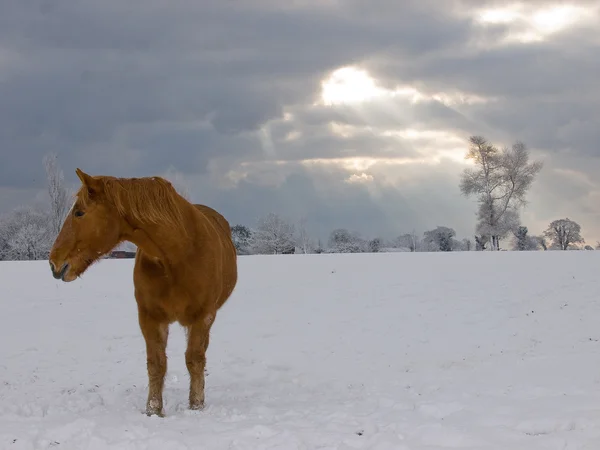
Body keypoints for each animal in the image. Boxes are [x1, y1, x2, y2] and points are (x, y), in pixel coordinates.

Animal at [48, 169, 238, 418]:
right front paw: (153, 410)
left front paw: (196, 406)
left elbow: (195, 359)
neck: (179, 255)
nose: (53, 262)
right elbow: (156, 364)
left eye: (79, 212)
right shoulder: (150, 317)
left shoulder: (203, 317)